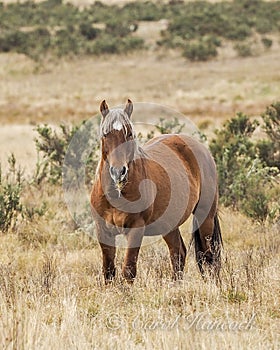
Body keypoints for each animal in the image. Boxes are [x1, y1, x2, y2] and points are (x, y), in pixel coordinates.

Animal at [91, 99, 222, 284]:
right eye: (105, 134)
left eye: (129, 134)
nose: (118, 171)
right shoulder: (103, 231)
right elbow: (108, 272)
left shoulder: (136, 229)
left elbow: (128, 270)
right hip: (169, 224)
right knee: (178, 253)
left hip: (206, 218)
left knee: (209, 256)